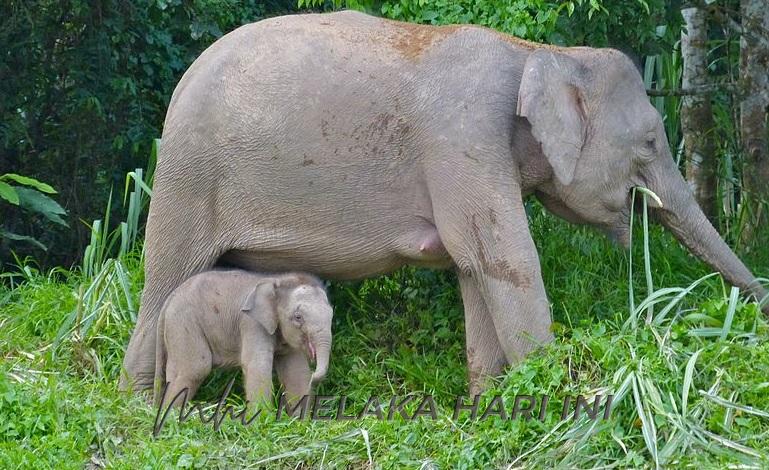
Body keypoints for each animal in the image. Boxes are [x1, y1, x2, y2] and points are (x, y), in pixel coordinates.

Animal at [118, 10, 760, 392]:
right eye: (650, 140)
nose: (754, 309)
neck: (539, 51)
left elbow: (474, 270)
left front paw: (488, 405)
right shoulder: (464, 140)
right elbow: (510, 261)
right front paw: (555, 397)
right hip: (187, 178)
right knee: (165, 278)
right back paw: (140, 408)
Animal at [154, 270, 332, 406]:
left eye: (331, 315)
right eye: (298, 317)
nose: (315, 377)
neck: (278, 281)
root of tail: (170, 299)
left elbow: (296, 372)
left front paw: (300, 422)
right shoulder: (252, 324)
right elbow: (257, 365)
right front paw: (260, 422)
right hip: (183, 324)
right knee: (194, 369)